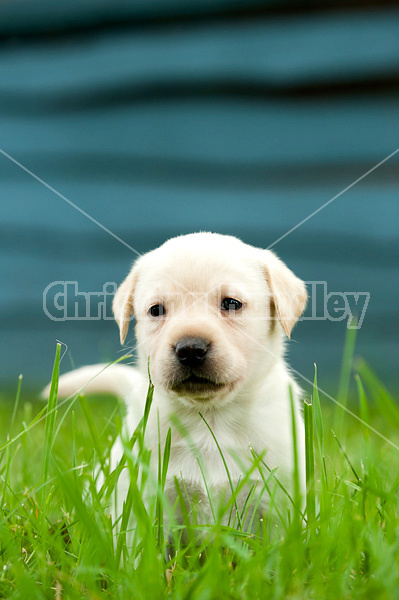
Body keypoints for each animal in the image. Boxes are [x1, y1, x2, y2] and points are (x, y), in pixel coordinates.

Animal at [54, 232, 310, 528]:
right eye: (156, 310)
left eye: (231, 303)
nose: (190, 349)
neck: (210, 417)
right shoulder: (145, 499)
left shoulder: (278, 500)